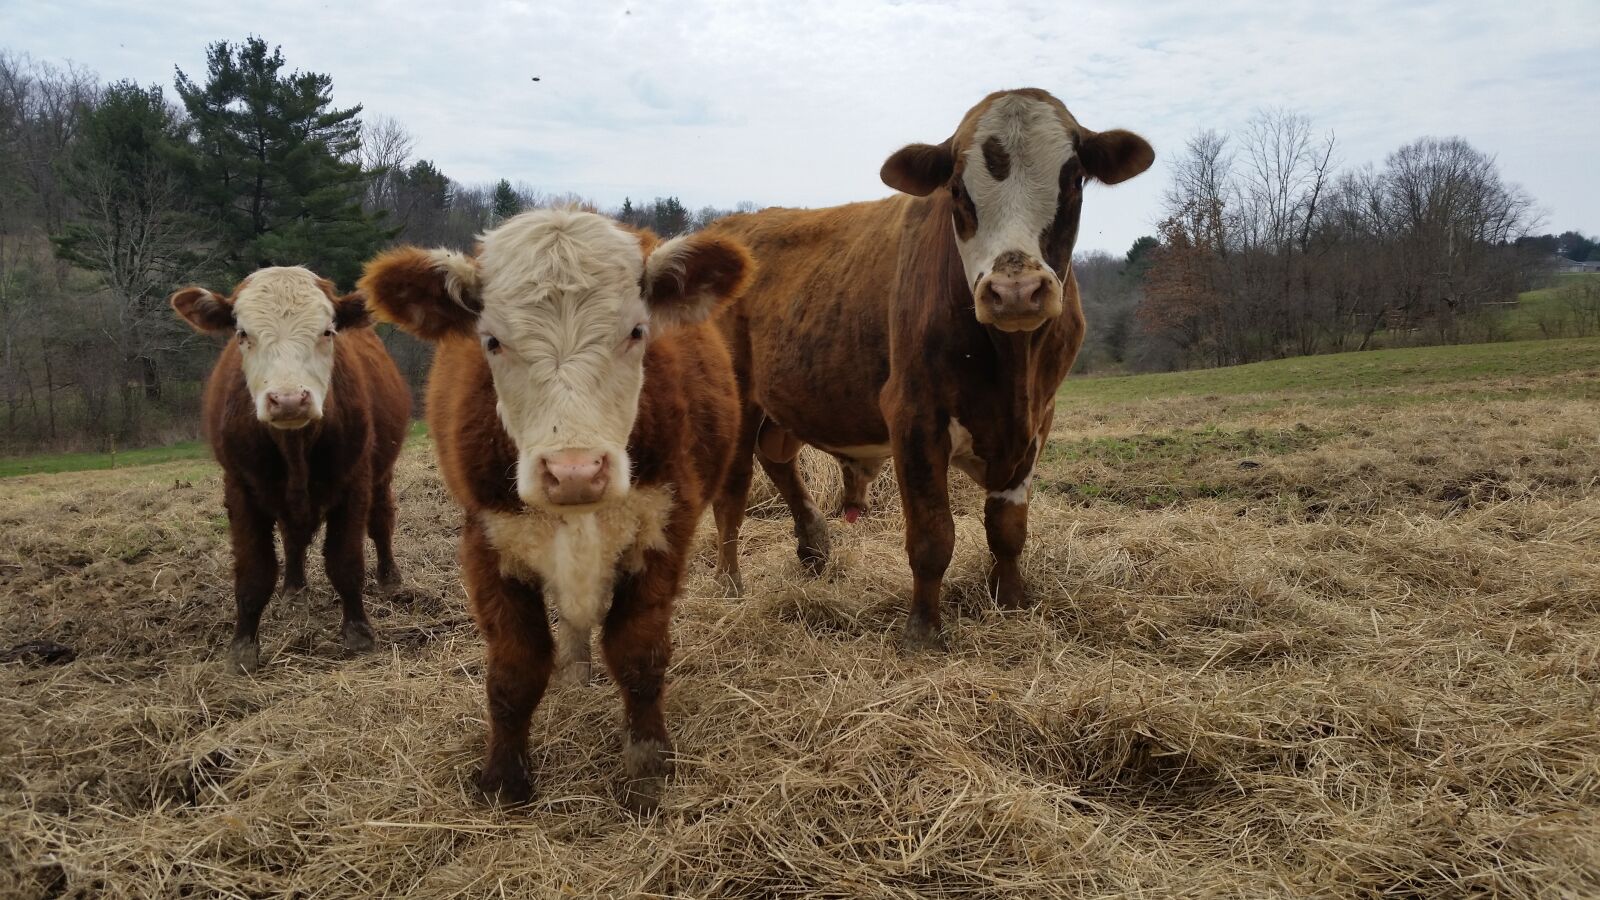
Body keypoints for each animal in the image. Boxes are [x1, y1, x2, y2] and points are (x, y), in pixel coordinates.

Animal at [171, 267, 412, 674]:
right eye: (242, 333)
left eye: (327, 331)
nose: (287, 400)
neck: (295, 445)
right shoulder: (240, 488)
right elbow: (255, 571)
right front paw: (243, 646)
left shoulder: (355, 483)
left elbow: (345, 562)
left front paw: (358, 632)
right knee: (292, 539)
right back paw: (294, 589)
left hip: (380, 476)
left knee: (381, 522)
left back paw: (389, 577)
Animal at [359, 209, 748, 813]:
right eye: (492, 341)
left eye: (636, 332)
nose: (574, 471)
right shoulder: (487, 542)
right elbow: (516, 668)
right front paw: (504, 778)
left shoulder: (663, 530)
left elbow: (639, 653)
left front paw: (647, 765)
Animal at [708, 88, 1154, 648]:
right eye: (957, 189)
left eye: (1072, 178)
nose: (1015, 292)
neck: (1012, 368)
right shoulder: (914, 416)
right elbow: (932, 534)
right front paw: (922, 629)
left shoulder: (1038, 420)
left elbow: (1007, 528)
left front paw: (1011, 603)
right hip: (735, 401)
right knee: (731, 495)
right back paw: (729, 585)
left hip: (785, 400)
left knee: (778, 459)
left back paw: (814, 547)